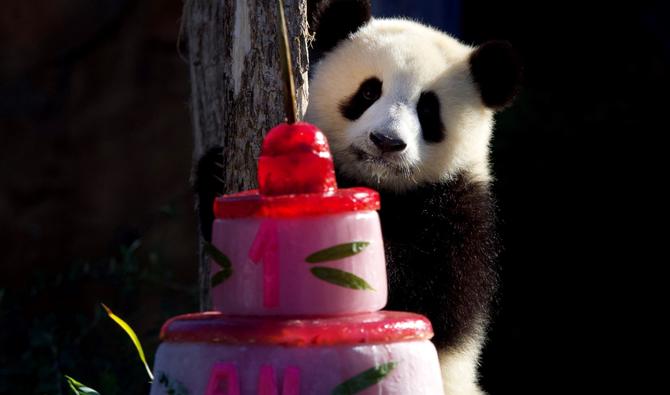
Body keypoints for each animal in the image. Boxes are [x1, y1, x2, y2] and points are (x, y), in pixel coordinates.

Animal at [306, 1, 524, 394]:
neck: (387, 187)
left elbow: (422, 299)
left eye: (428, 110)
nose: (386, 142)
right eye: (368, 92)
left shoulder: (463, 217)